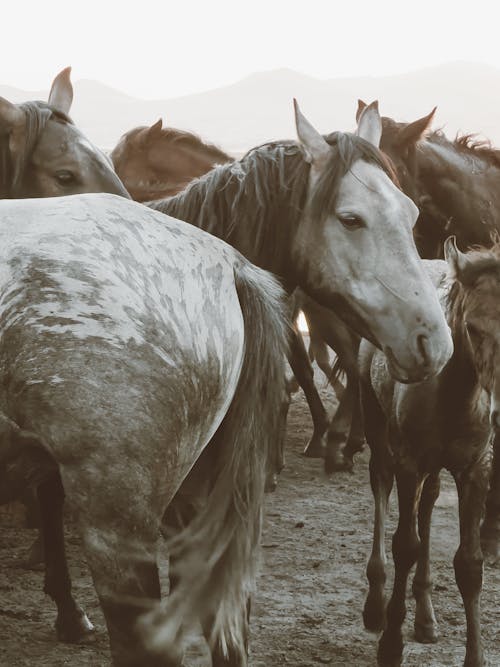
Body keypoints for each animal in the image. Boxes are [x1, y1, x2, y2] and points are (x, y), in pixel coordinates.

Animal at [360, 240, 496, 667]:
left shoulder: (475, 469)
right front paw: (391, 644)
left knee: (429, 502)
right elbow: (405, 544)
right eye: (473, 328)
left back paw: (425, 616)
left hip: (434, 466)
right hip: (377, 426)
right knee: (381, 484)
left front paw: (475, 656)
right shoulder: (409, 462)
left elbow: (469, 564)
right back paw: (375, 605)